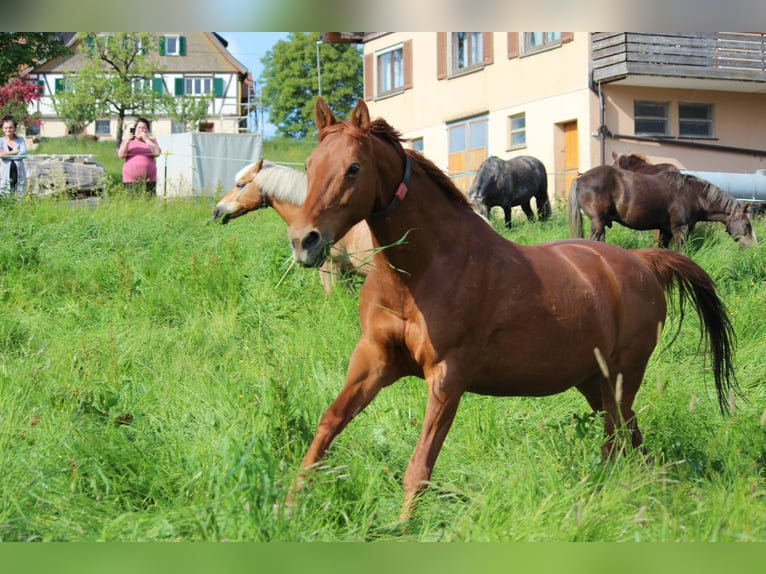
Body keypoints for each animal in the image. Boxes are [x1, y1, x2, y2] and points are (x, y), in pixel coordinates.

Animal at [284, 98, 740, 520]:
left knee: (615, 439)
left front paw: (402, 526)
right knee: (631, 436)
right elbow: (328, 424)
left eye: (354, 168)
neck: (421, 272)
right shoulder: (374, 360)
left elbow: (420, 466)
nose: (304, 240)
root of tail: (643, 262)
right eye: (310, 164)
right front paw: (287, 506)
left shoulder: (447, 377)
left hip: (622, 375)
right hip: (593, 382)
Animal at [568, 164, 760, 250]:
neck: (693, 194)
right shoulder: (680, 230)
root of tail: (581, 178)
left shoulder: (665, 231)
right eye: (747, 224)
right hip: (598, 222)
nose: (754, 247)